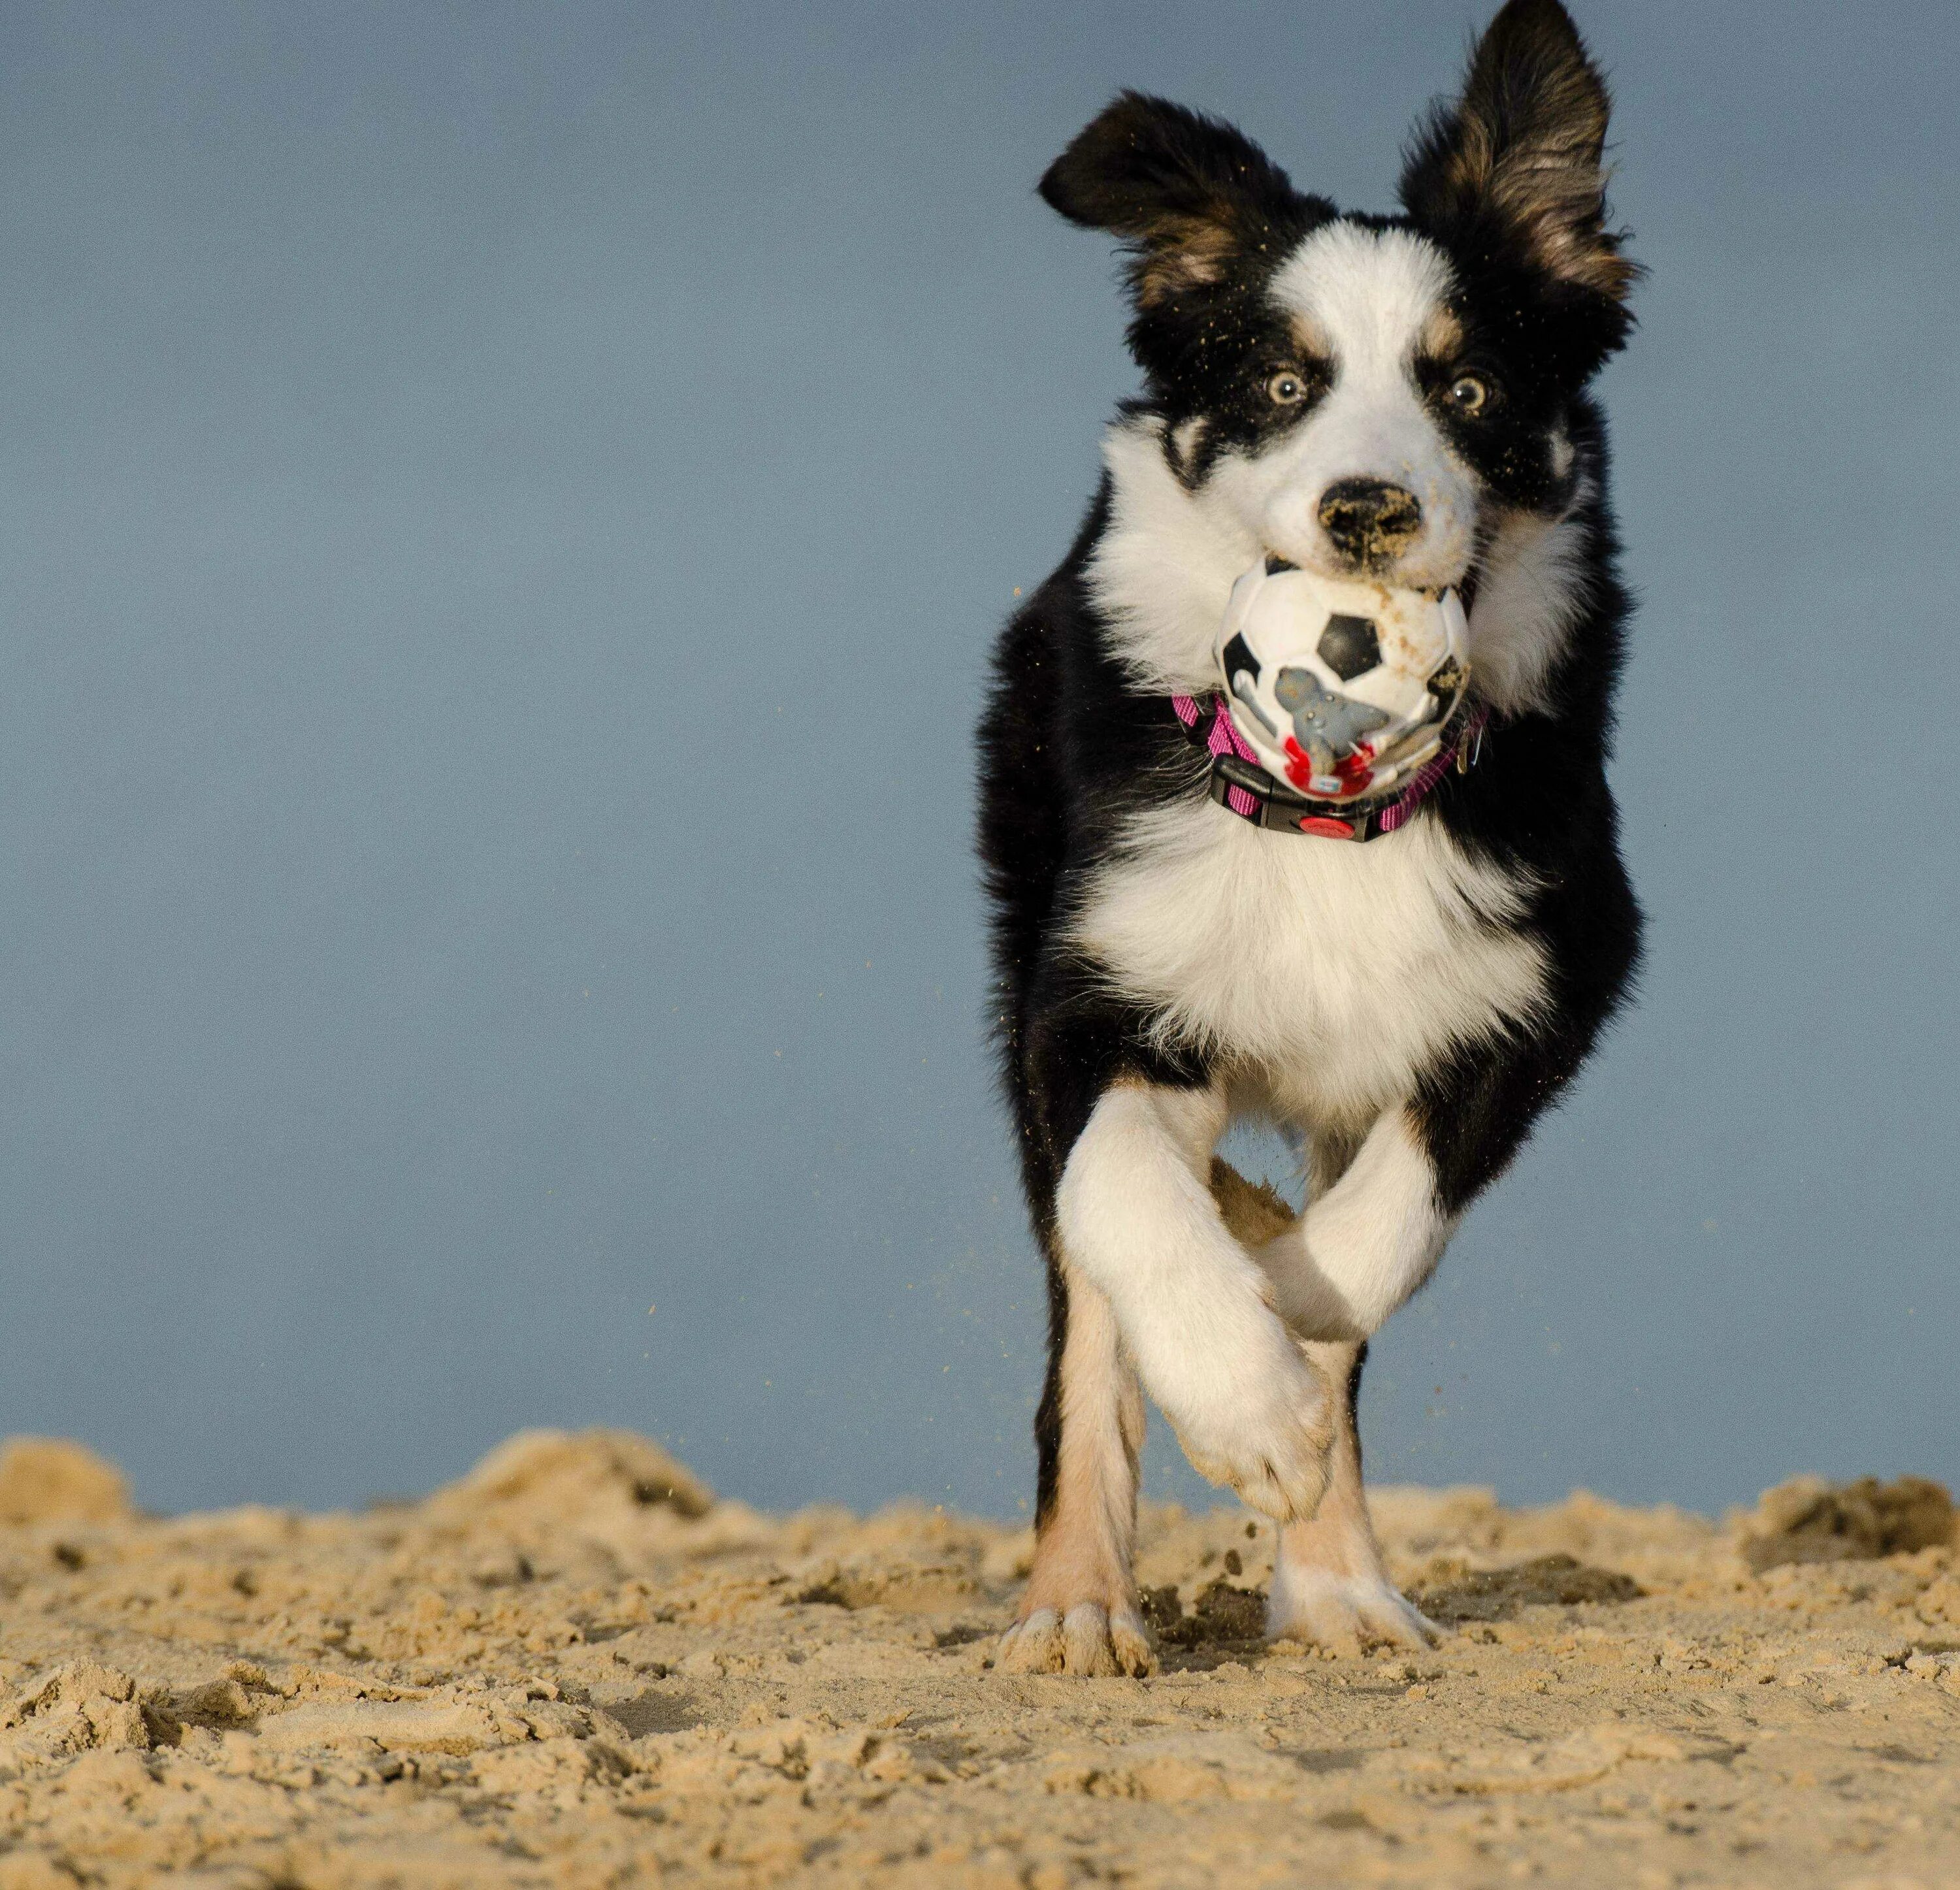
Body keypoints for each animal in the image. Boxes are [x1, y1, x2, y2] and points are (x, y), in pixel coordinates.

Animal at [976, 0, 1639, 1686]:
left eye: (1467, 392)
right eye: (1282, 384)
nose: (1364, 509)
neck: (1329, 810)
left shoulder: (1551, 971)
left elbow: (1384, 1227)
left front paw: (1283, 1316)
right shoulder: (1093, 984)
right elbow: (1118, 1199)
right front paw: (1244, 1391)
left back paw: (1341, 1589)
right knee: (1086, 1308)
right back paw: (1079, 1606)